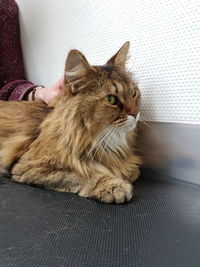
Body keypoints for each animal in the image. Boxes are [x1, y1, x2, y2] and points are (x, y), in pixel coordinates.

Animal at [0, 42, 141, 204]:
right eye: (111, 99)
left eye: (133, 93)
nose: (135, 113)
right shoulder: (28, 166)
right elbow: (82, 174)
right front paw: (112, 185)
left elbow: (133, 170)